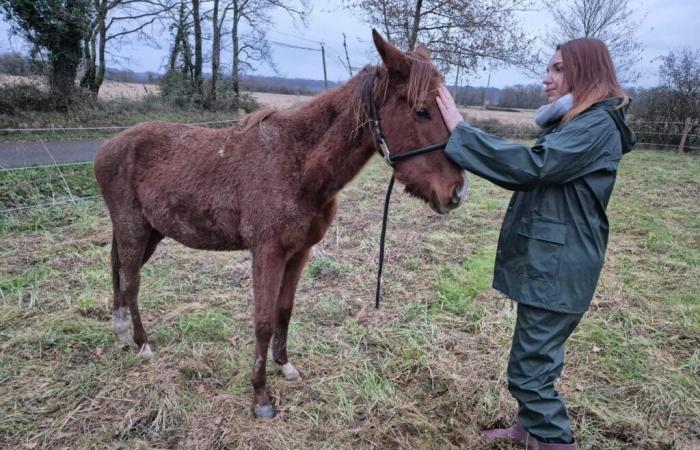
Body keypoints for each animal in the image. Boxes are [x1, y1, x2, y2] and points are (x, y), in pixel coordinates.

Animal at [91, 30, 464, 418]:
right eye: (421, 110)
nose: (455, 191)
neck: (299, 164)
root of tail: (108, 147)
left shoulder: (299, 252)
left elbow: (284, 310)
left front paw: (284, 366)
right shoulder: (267, 253)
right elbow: (264, 321)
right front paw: (260, 396)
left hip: (150, 231)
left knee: (118, 269)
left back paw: (120, 331)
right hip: (134, 227)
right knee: (131, 281)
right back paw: (142, 344)